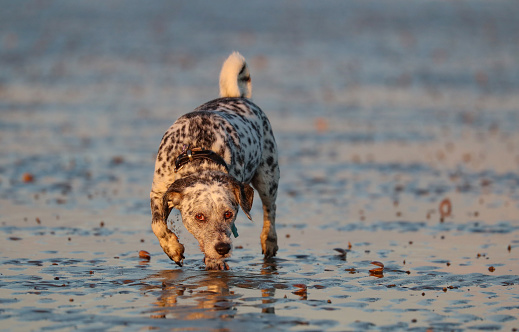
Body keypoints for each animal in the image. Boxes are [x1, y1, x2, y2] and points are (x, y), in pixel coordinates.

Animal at [149, 52, 280, 270]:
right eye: (199, 217)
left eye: (228, 214)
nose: (222, 248)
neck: (197, 149)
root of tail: (235, 95)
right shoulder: (159, 191)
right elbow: (157, 225)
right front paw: (173, 248)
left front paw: (214, 262)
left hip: (268, 177)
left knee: (270, 210)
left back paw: (269, 241)